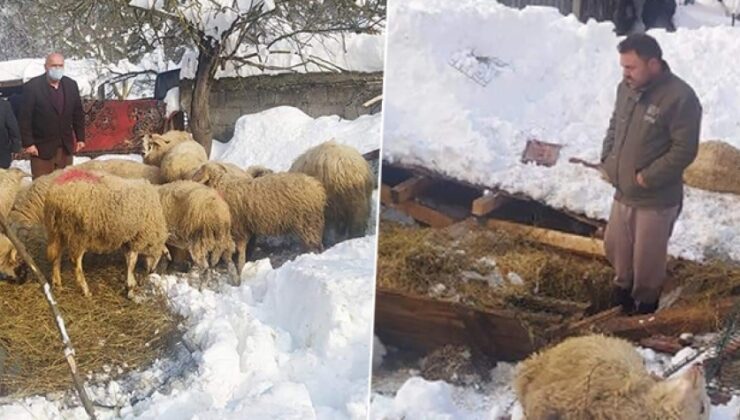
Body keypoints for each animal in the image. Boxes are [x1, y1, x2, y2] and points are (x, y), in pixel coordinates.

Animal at [44, 168, 169, 298]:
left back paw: (57, 284)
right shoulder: (137, 238)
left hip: (58, 231)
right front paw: (130, 289)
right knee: (75, 262)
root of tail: (55, 192)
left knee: (56, 256)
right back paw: (85, 290)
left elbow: (128, 261)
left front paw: (129, 284)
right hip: (78, 234)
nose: (151, 271)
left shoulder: (127, 240)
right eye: (160, 257)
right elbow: (132, 263)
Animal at [189, 161, 326, 272]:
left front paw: (238, 266)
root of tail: (316, 186)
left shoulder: (239, 228)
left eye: (200, 171)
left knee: (316, 245)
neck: (223, 187)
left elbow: (239, 250)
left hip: (308, 222)